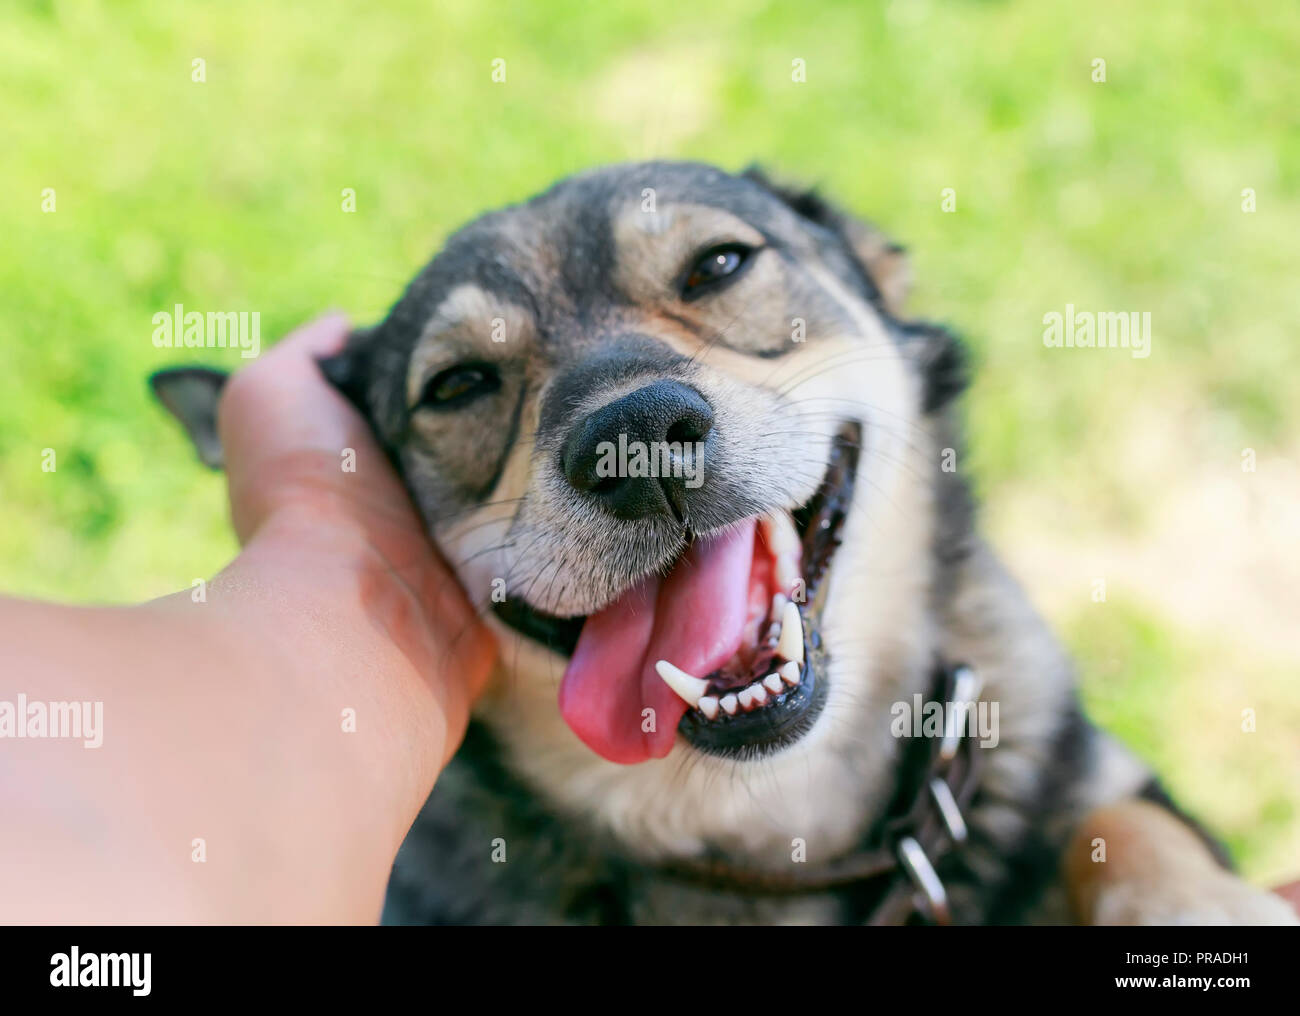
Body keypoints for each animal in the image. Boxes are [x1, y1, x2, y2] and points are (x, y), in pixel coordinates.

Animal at [149, 161, 1289, 930]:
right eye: (459, 384)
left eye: (719, 266)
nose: (637, 439)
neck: (768, 825)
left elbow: (1126, 825)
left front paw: (1203, 906)